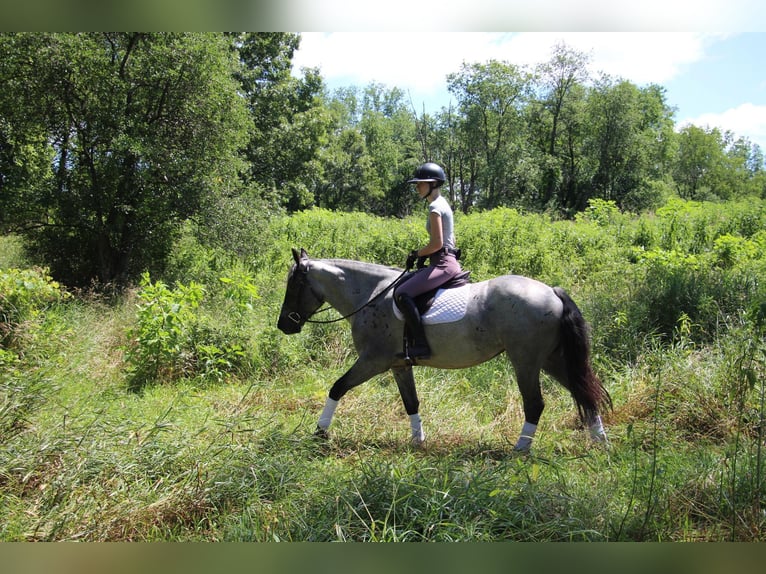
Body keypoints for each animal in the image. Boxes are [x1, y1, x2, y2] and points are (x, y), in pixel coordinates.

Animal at [276, 249, 612, 454]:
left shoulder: (373, 360)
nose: (284, 325)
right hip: (552, 359)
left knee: (535, 403)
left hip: (526, 361)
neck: (372, 294)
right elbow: (411, 402)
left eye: (294, 285)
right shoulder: (399, 365)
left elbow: (337, 387)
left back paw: (520, 448)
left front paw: (320, 432)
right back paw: (601, 442)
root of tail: (552, 291)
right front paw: (418, 441)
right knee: (584, 392)